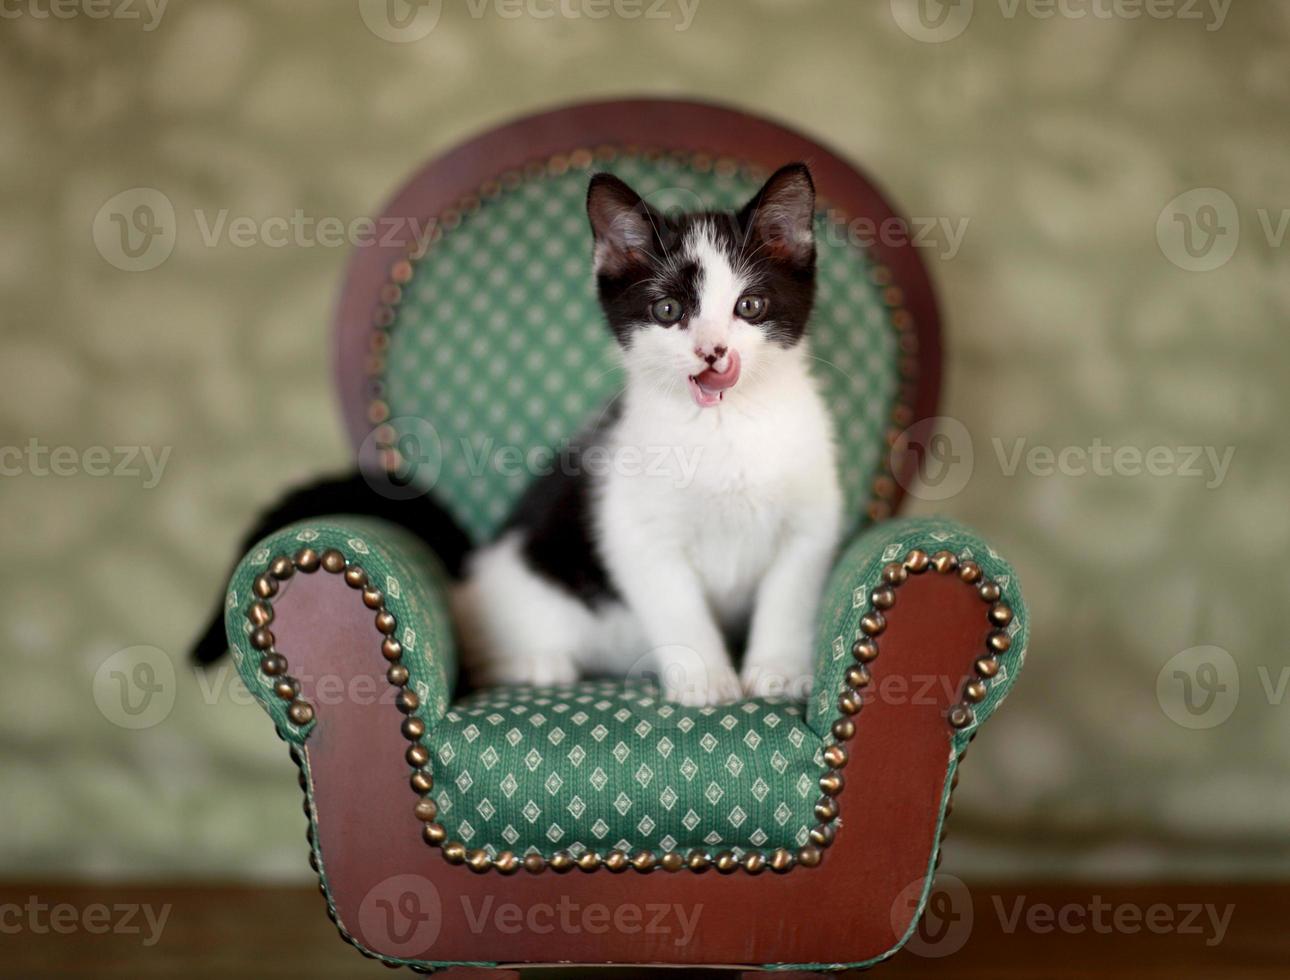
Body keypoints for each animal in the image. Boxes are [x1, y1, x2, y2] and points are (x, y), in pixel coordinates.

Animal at [456, 162, 846, 706]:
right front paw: (707, 679)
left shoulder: (810, 524)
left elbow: (791, 594)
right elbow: (677, 605)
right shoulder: (636, 531)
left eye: (749, 305)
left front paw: (778, 671)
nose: (713, 351)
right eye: (667, 310)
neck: (723, 425)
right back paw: (537, 665)